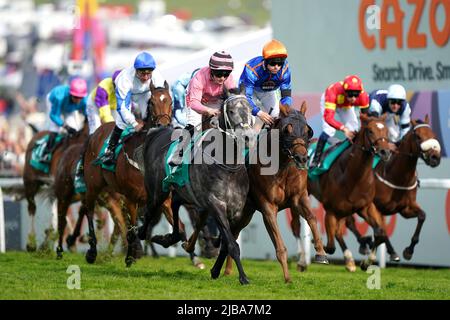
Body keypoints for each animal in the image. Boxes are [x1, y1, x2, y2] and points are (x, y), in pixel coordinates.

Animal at [22, 119, 89, 251]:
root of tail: (37, 134)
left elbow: (81, 211)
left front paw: (71, 240)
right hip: (30, 182)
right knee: (32, 207)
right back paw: (31, 243)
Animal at [143, 91, 255, 284]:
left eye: (250, 110)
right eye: (231, 111)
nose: (247, 137)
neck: (228, 167)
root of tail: (156, 134)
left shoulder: (236, 211)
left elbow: (226, 243)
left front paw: (216, 270)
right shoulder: (216, 204)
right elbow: (231, 244)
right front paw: (243, 277)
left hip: (182, 191)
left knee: (176, 207)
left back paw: (170, 239)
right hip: (159, 191)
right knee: (149, 212)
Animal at [308, 114, 392, 272]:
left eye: (387, 131)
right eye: (370, 131)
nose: (385, 152)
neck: (354, 177)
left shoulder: (365, 207)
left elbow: (379, 232)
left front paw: (366, 262)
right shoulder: (331, 210)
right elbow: (331, 246)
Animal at [346, 116, 442, 262]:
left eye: (434, 135)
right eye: (418, 137)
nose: (435, 158)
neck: (397, 176)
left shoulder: (405, 209)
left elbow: (422, 216)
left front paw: (409, 251)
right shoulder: (376, 207)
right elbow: (382, 230)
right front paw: (391, 252)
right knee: (349, 222)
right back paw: (362, 244)